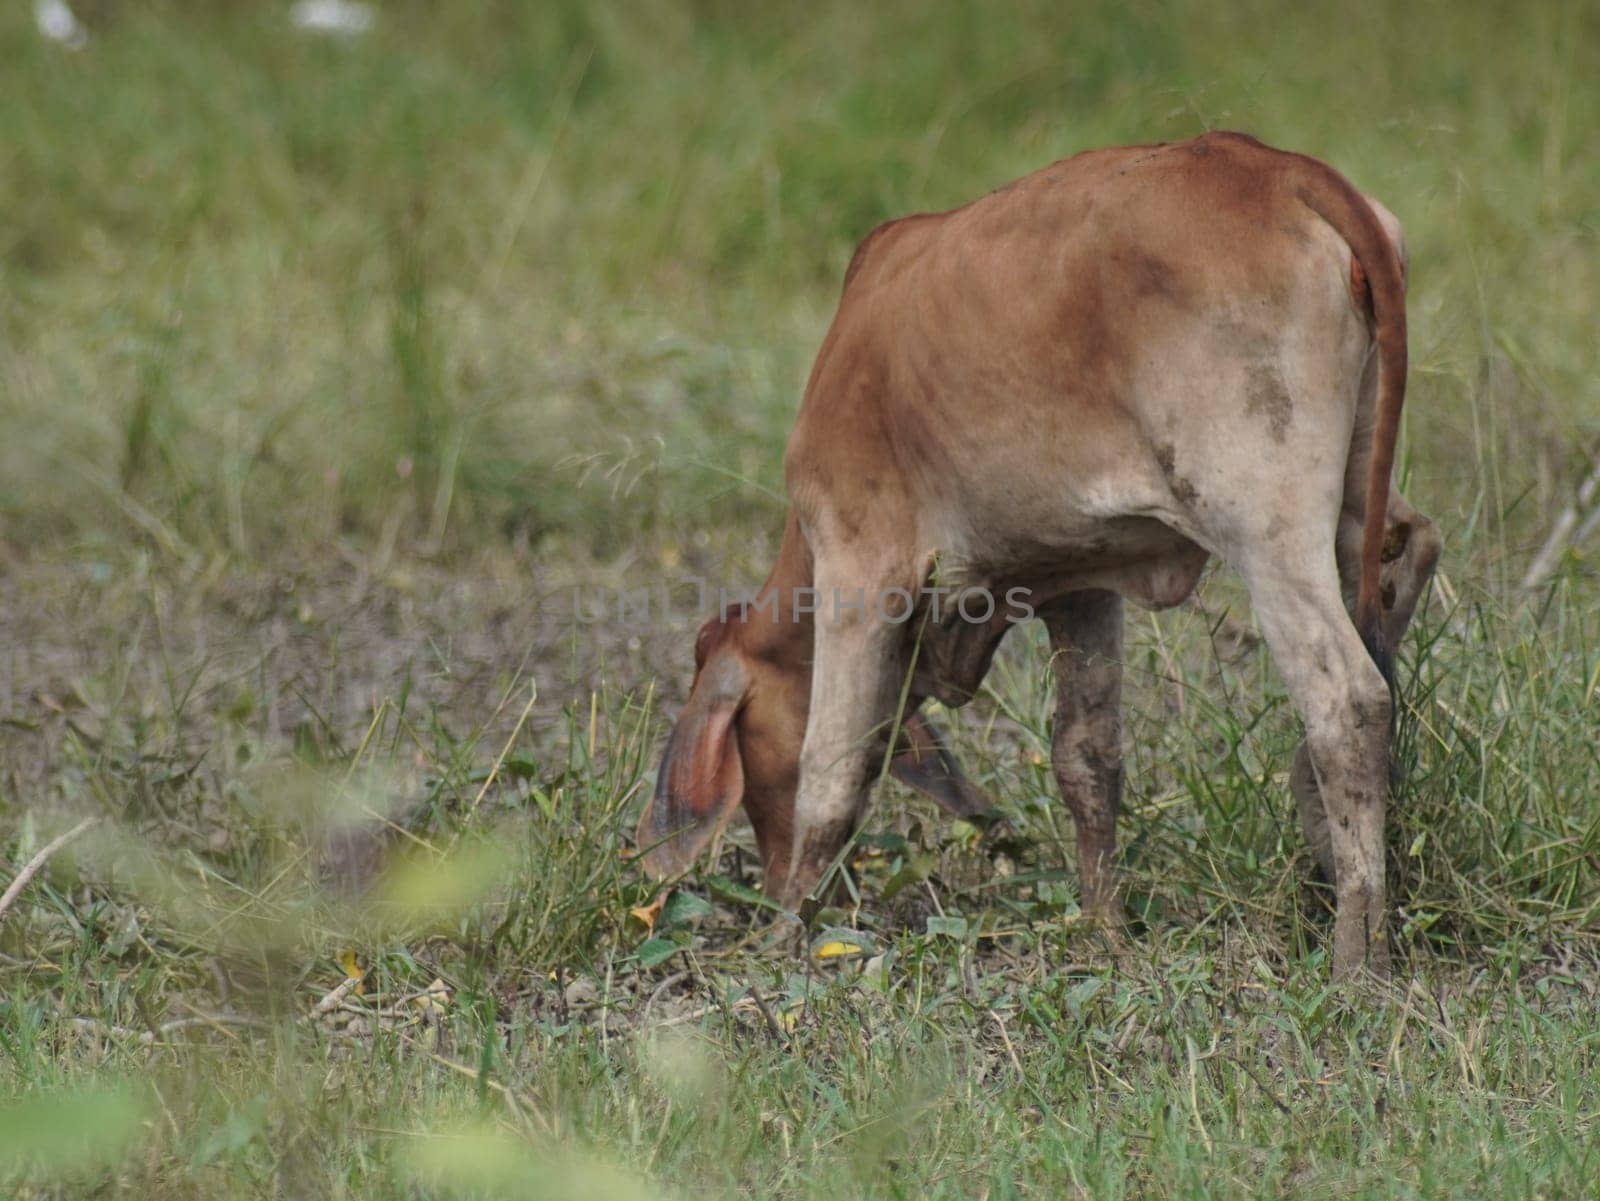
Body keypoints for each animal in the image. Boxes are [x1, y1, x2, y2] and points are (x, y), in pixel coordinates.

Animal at [633, 131, 1440, 978]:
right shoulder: (1082, 584)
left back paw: (1357, 950)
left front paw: (786, 934)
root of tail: (1275, 166)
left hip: (1264, 519)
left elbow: (831, 768)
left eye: (748, 751)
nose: (770, 874)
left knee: (1348, 698)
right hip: (1356, 494)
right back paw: (1322, 834)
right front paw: (1105, 927)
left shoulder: (858, 561)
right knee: (1411, 556)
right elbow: (1088, 760)